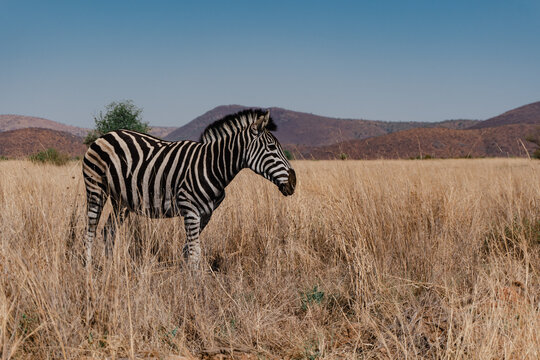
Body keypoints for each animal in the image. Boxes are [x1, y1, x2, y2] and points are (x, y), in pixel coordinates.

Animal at [82, 108, 298, 268]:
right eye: (272, 148)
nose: (293, 182)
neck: (212, 166)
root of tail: (105, 135)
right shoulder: (191, 210)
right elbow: (195, 253)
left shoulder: (206, 213)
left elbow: (188, 250)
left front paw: (186, 280)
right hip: (96, 189)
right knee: (90, 230)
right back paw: (88, 269)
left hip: (122, 200)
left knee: (108, 231)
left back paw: (112, 268)